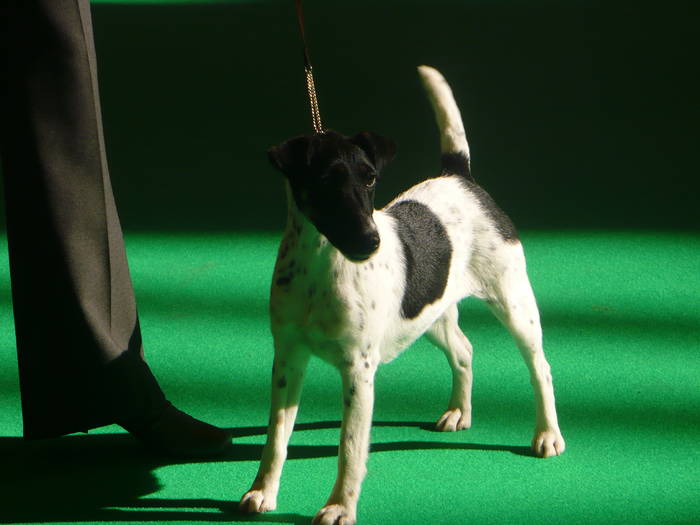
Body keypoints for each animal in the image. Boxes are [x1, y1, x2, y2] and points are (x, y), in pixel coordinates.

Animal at [239, 66, 564, 524]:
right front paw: (262, 491)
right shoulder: (287, 360)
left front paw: (339, 507)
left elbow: (350, 448)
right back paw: (460, 411)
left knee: (541, 369)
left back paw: (547, 435)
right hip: (429, 315)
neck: (320, 269)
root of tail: (459, 178)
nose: (370, 241)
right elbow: (275, 439)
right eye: (324, 181)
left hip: (515, 306)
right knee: (464, 350)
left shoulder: (358, 370)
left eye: (370, 178)